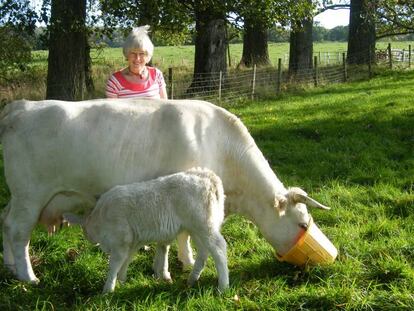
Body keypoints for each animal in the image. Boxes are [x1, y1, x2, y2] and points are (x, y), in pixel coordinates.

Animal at [65, 167, 230, 294]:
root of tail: (207, 175)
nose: (90, 238)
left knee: (219, 248)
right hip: (196, 228)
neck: (100, 217)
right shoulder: (132, 241)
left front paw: (107, 290)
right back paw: (192, 279)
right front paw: (122, 280)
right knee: (203, 251)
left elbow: (114, 265)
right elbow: (127, 260)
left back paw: (223, 286)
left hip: (204, 225)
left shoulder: (120, 242)